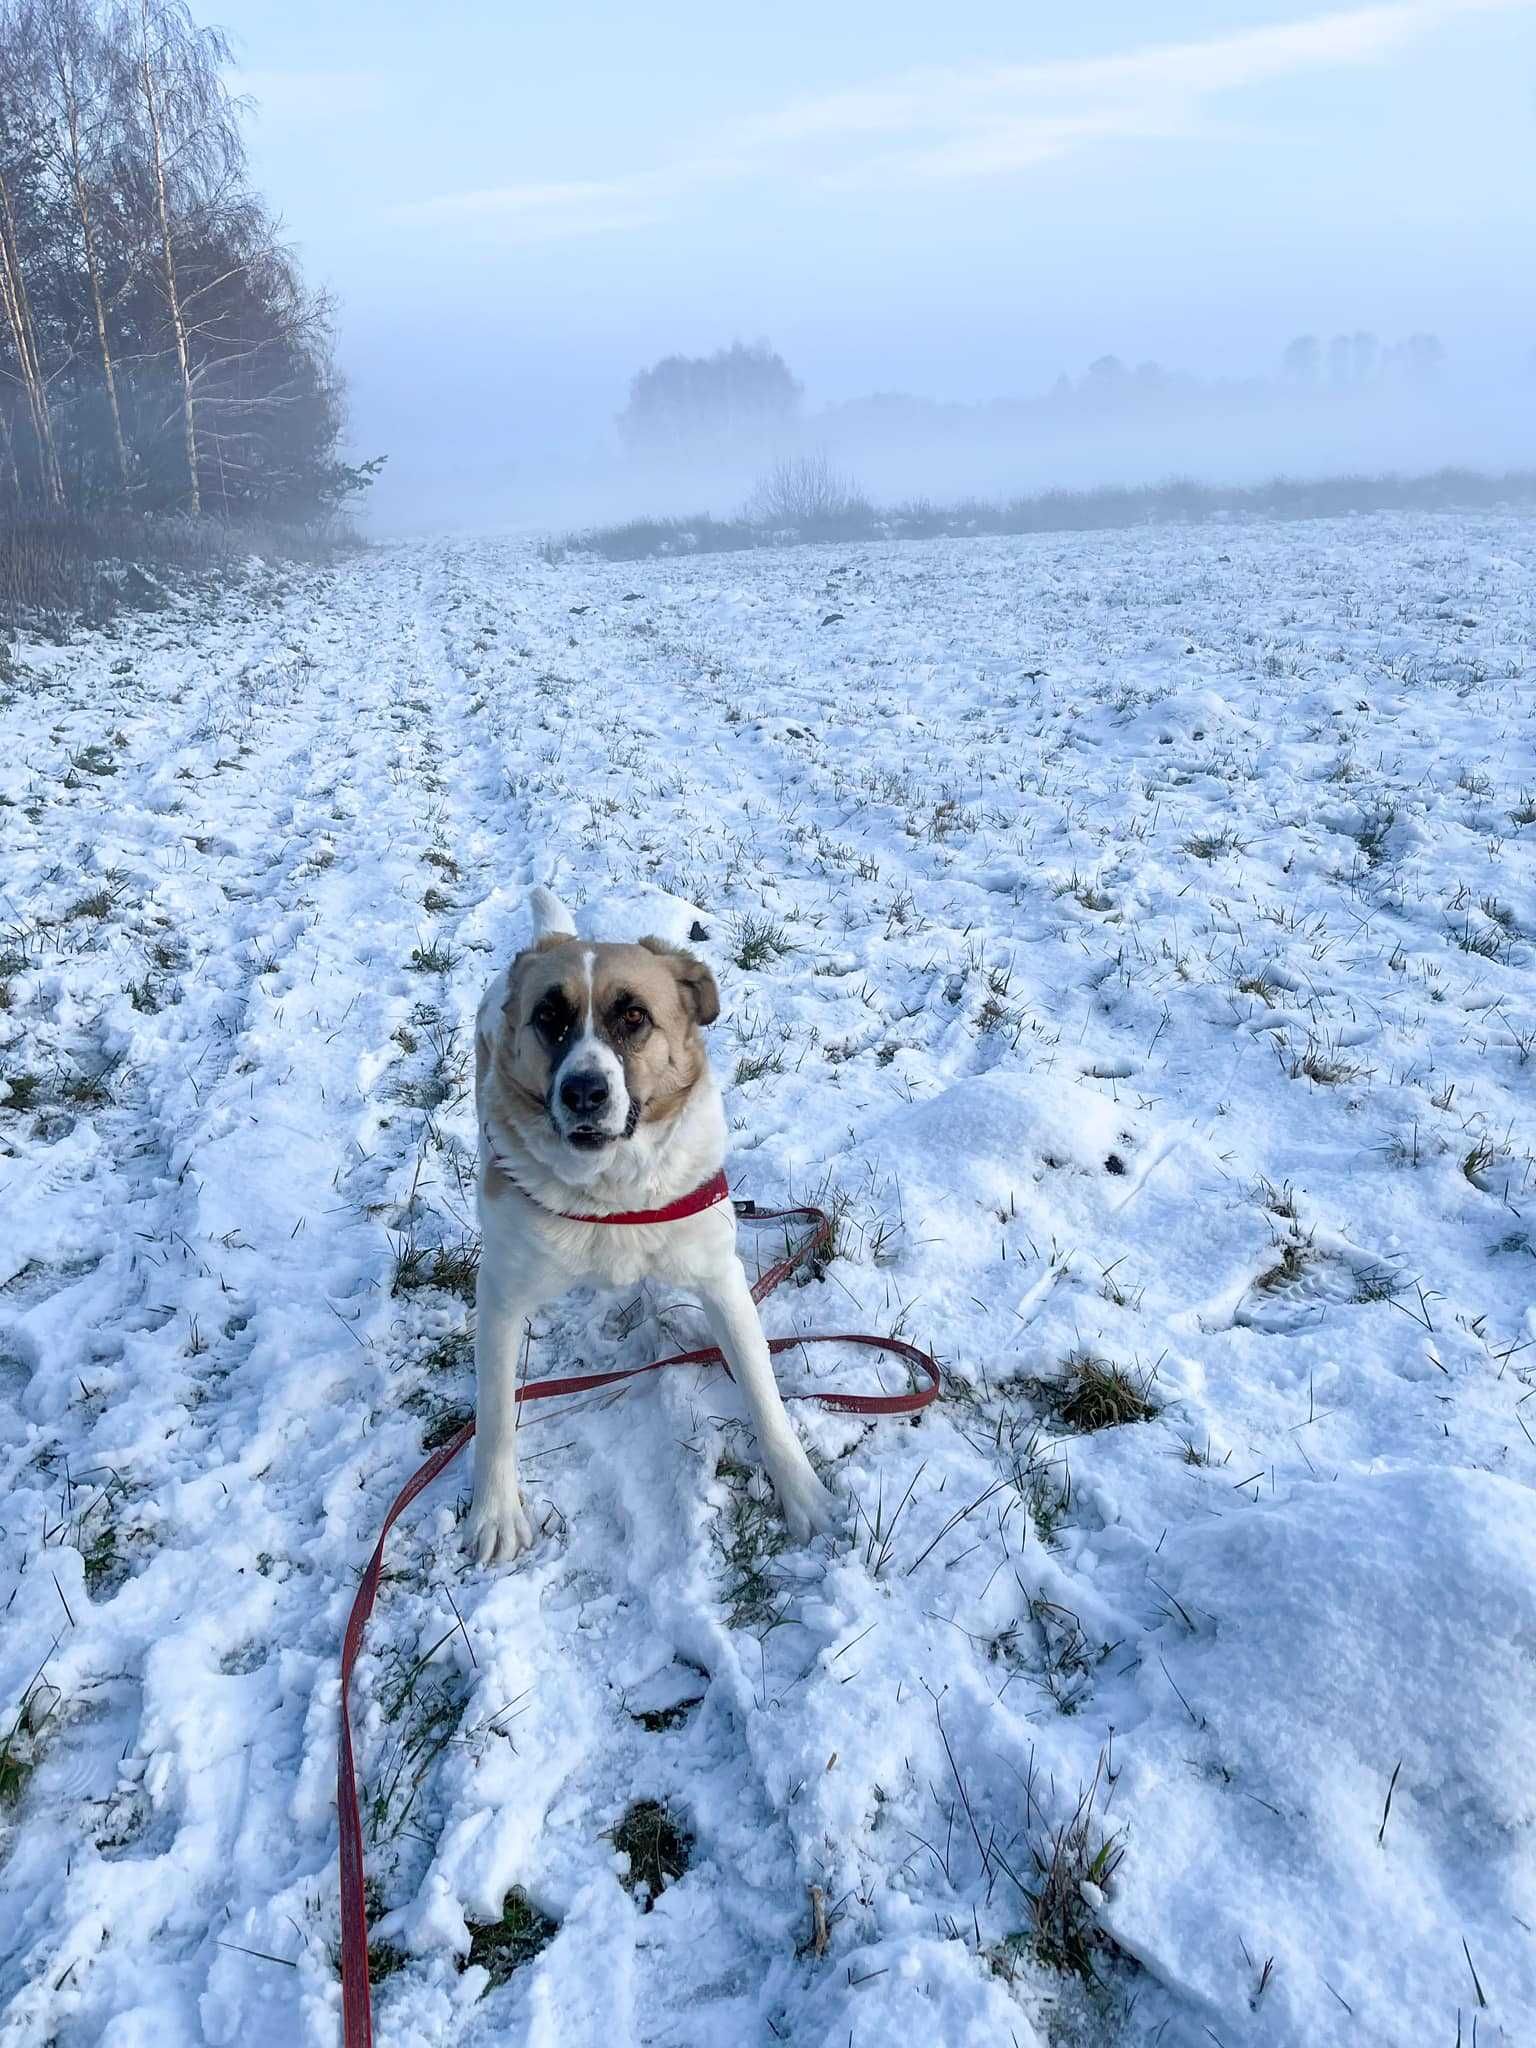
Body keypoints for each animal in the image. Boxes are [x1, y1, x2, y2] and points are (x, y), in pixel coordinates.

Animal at [466, 884, 843, 1564]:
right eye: (548, 1018)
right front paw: (496, 1512)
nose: (584, 1092)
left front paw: (802, 1494)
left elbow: (764, 1394)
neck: (610, 1196)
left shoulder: (723, 1280)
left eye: (634, 1017)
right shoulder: (502, 1296)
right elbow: (495, 1416)